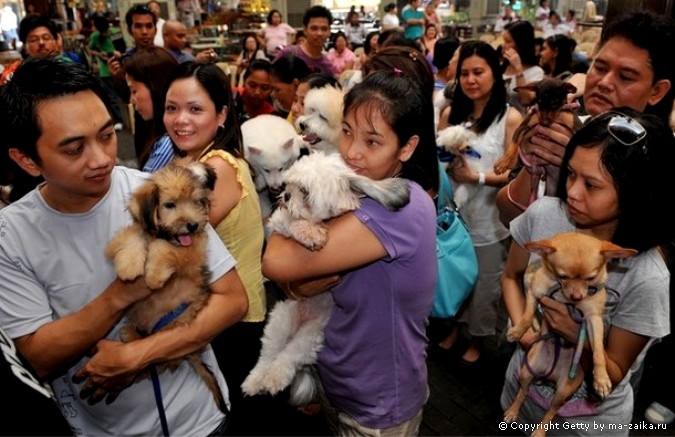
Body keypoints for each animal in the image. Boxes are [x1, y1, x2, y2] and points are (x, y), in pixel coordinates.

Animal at [103, 159, 224, 408]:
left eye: (196, 202)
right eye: (170, 205)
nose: (193, 225)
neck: (165, 235)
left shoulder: (191, 254)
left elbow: (164, 249)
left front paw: (155, 274)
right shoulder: (133, 234)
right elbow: (133, 239)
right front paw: (129, 266)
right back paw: (130, 334)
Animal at [243, 152, 412, 406]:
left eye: (304, 191)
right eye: (288, 184)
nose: (286, 195)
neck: (323, 221)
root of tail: (301, 320)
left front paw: (310, 230)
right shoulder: (277, 224)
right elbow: (290, 221)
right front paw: (310, 233)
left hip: (310, 336)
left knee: (288, 358)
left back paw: (274, 378)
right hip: (281, 321)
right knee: (268, 354)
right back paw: (255, 381)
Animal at [504, 230, 636, 434]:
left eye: (590, 278)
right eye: (562, 276)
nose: (577, 297)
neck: (564, 297)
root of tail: (548, 375)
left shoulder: (593, 319)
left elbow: (598, 350)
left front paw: (601, 378)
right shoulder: (535, 293)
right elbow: (527, 315)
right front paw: (517, 332)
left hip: (563, 391)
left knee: (551, 411)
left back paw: (540, 432)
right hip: (526, 372)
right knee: (523, 391)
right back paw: (512, 411)